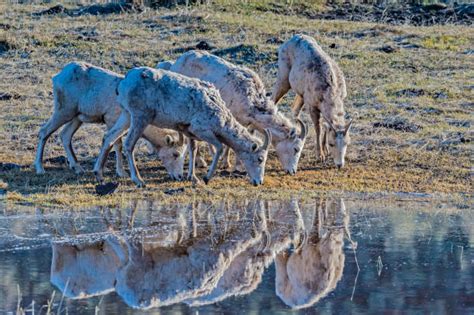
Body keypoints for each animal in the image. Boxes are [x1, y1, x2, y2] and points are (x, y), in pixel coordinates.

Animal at [34, 61, 186, 180]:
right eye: (175, 154)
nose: (178, 176)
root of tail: (59, 76)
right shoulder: (111, 120)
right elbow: (116, 144)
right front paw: (122, 172)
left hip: (77, 118)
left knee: (65, 135)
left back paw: (77, 168)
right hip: (64, 112)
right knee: (44, 132)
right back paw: (40, 169)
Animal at [93, 67, 270, 188]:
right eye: (260, 159)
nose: (259, 182)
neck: (220, 115)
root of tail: (124, 82)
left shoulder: (189, 131)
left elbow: (193, 149)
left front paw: (193, 178)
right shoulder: (202, 130)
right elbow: (219, 148)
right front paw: (206, 178)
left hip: (126, 116)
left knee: (109, 137)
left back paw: (99, 175)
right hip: (139, 117)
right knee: (129, 144)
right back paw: (139, 181)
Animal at [157, 51, 310, 177]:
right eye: (296, 149)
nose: (292, 171)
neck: (251, 98)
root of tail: (177, 63)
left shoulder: (249, 123)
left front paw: (230, 163)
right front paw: (234, 165)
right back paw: (201, 162)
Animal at [272, 34, 354, 168]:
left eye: (347, 143)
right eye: (332, 143)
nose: (339, 164)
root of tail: (287, 41)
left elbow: (326, 125)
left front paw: (325, 151)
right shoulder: (312, 106)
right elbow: (318, 128)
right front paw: (320, 156)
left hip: (300, 93)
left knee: (294, 108)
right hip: (283, 79)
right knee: (273, 99)